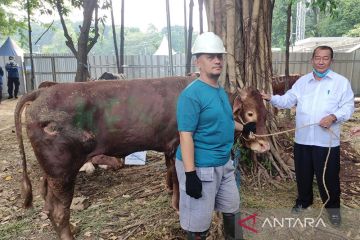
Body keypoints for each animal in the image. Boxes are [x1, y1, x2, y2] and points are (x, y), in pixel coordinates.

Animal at [16, 77, 270, 240]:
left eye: (266, 112)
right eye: (249, 113)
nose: (264, 144)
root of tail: (43, 92)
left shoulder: (168, 147)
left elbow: (171, 174)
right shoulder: (178, 146)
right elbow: (179, 178)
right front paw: (178, 206)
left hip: (52, 173)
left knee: (48, 204)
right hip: (62, 171)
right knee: (58, 210)